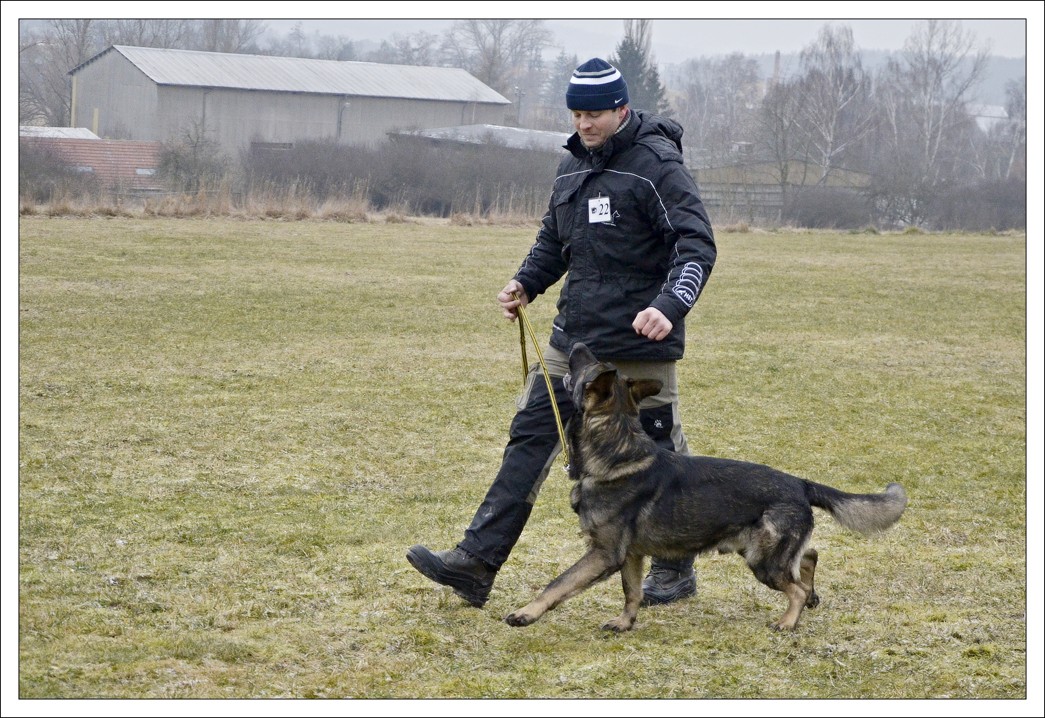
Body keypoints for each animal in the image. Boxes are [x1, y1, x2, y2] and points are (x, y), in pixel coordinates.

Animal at [505, 344, 907, 631]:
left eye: (586, 369)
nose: (574, 342)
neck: (616, 452)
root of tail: (799, 483)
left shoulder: (604, 554)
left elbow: (558, 583)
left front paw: (526, 613)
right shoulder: (631, 555)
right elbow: (631, 591)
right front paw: (625, 622)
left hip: (761, 559)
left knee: (795, 584)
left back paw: (788, 621)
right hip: (765, 550)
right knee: (808, 557)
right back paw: (809, 598)